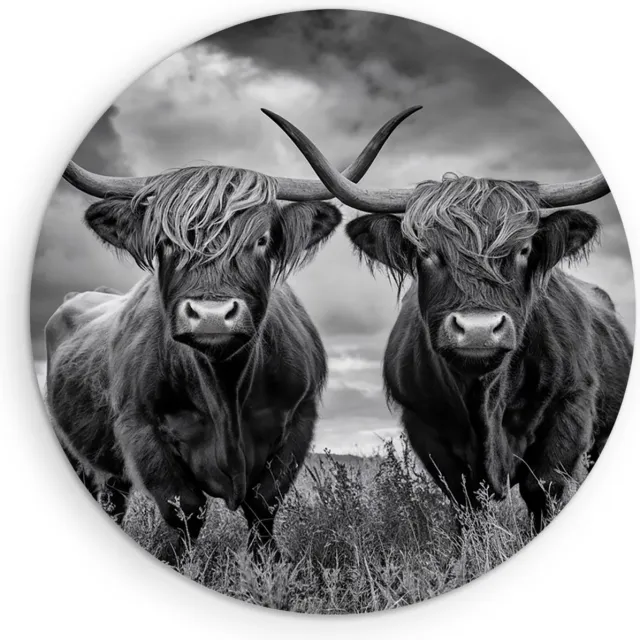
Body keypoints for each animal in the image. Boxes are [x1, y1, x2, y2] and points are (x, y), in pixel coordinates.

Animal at [44, 107, 421, 561]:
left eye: (262, 240)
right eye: (164, 244)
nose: (210, 315)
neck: (226, 392)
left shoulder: (299, 422)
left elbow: (262, 506)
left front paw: (267, 567)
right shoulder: (140, 430)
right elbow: (185, 512)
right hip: (74, 451)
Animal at [262, 110, 633, 530]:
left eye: (524, 249)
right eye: (426, 251)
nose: (478, 330)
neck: (485, 397)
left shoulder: (570, 412)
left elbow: (542, 490)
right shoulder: (426, 429)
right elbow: (465, 503)